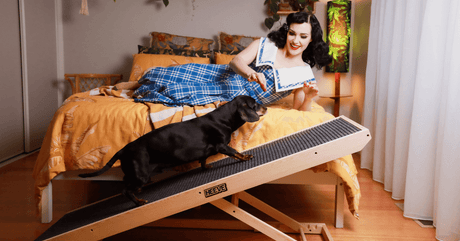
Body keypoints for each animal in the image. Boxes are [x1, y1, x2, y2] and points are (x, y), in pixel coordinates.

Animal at [78, 95, 266, 205]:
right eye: (255, 104)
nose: (265, 107)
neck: (223, 118)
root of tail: (123, 150)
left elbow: (203, 159)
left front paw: (206, 166)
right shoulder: (221, 145)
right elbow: (234, 152)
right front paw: (245, 157)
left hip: (135, 172)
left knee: (126, 180)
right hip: (141, 174)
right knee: (125, 189)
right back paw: (138, 201)